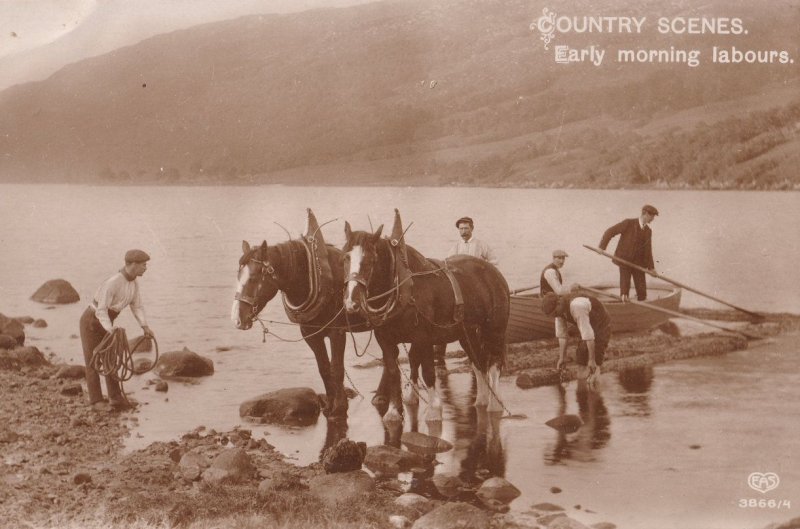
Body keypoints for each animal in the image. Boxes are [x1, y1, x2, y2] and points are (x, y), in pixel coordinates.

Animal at [340, 217, 510, 422]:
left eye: (371, 260)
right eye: (345, 258)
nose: (352, 302)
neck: (404, 288)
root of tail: (495, 273)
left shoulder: (424, 338)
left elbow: (428, 372)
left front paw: (434, 411)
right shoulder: (385, 339)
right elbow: (393, 371)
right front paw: (393, 411)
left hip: (495, 330)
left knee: (494, 363)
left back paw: (495, 404)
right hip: (467, 333)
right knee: (479, 362)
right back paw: (482, 400)